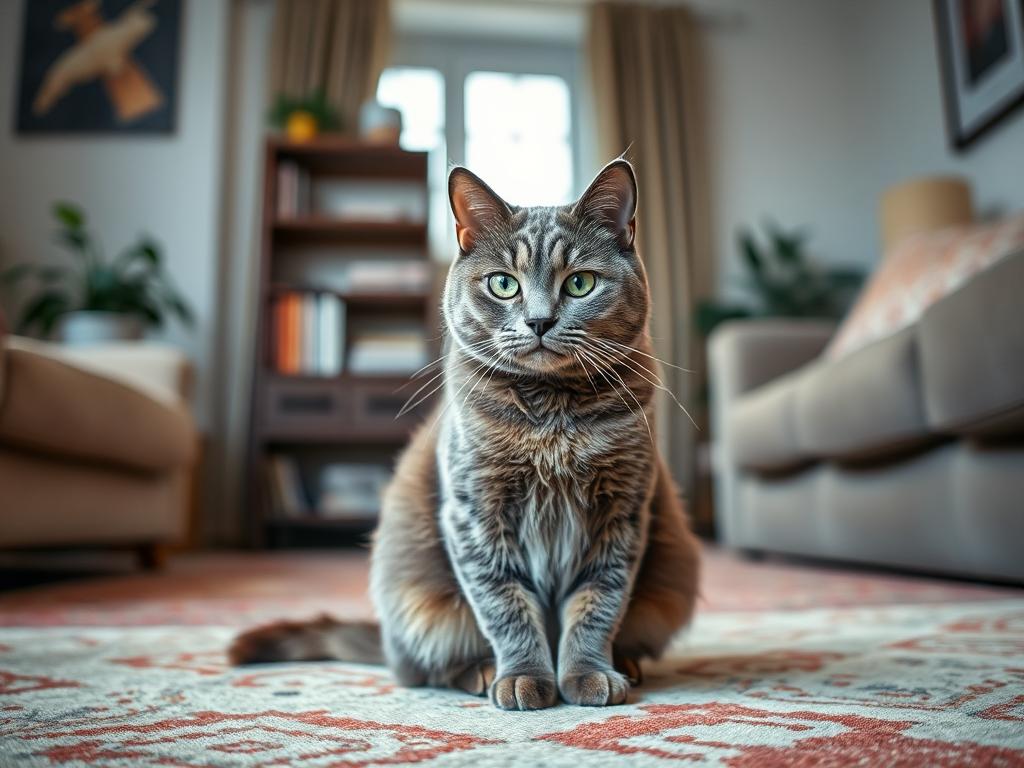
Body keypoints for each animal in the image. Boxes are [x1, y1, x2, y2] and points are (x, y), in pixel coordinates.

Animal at [228, 159, 700, 712]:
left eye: (581, 283)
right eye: (503, 284)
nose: (539, 321)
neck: (551, 418)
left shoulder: (622, 510)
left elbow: (598, 601)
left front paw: (588, 673)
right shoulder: (476, 513)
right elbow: (505, 604)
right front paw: (524, 677)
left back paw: (625, 663)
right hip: (417, 601)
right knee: (426, 667)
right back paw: (481, 671)